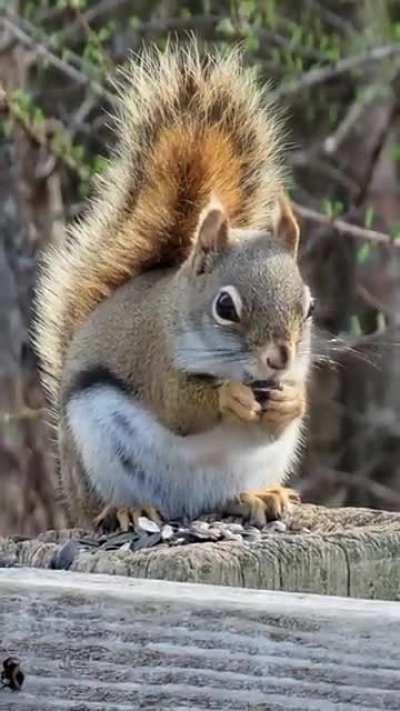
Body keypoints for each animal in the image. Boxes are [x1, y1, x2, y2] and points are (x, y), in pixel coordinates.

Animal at [34, 42, 313, 531]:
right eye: (225, 307)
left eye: (309, 308)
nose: (279, 358)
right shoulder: (153, 357)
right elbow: (179, 406)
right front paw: (228, 396)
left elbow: (281, 417)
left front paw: (289, 401)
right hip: (96, 457)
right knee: (107, 504)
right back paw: (127, 509)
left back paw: (257, 495)